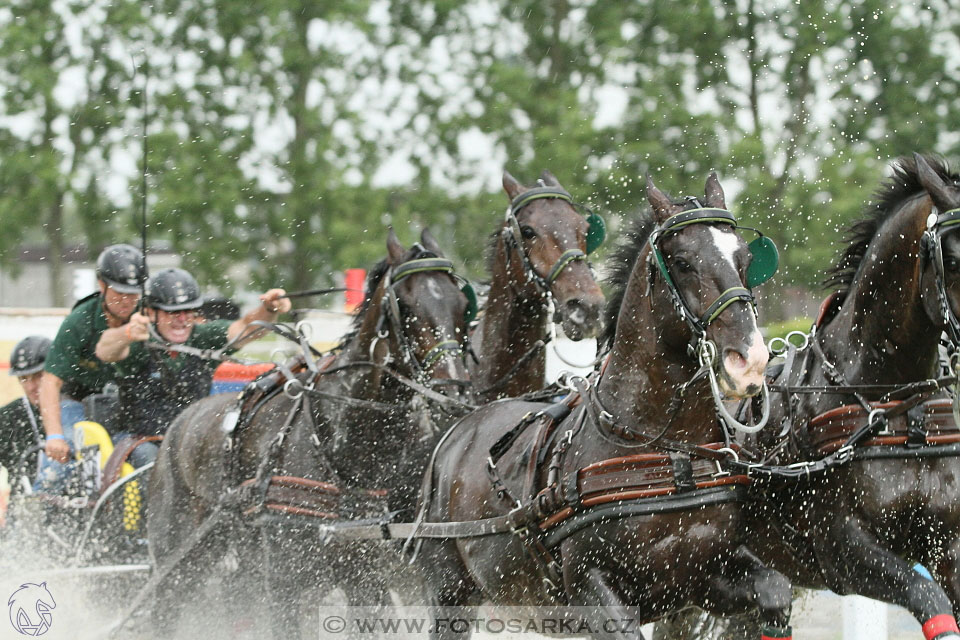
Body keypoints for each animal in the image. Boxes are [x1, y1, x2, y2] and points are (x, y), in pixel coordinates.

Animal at [148, 230, 474, 640]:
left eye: (462, 304)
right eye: (407, 306)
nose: (455, 392)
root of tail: (177, 427)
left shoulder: (368, 579)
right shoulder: (285, 582)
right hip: (176, 561)